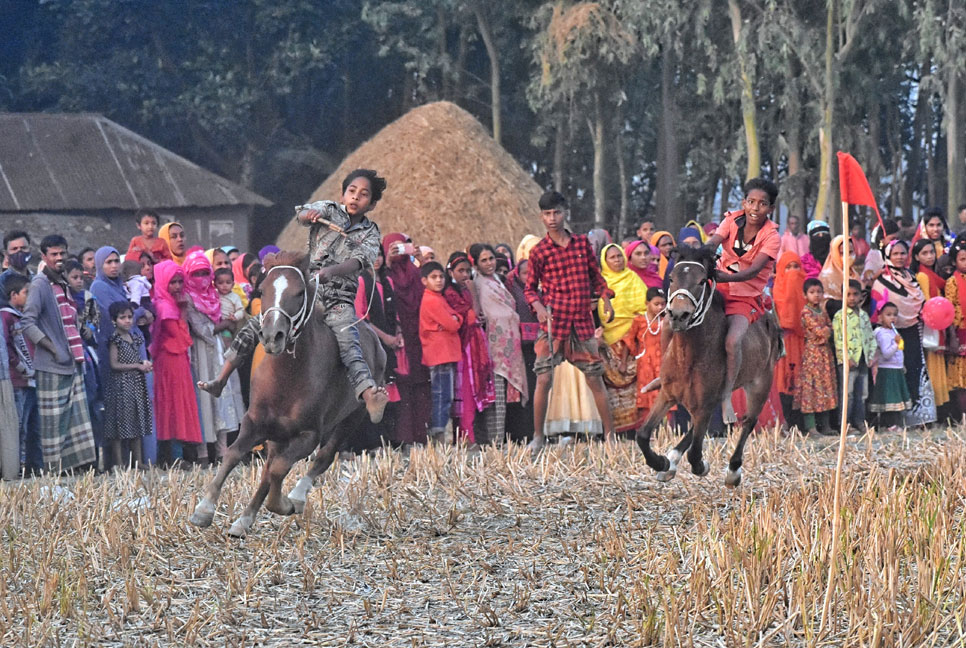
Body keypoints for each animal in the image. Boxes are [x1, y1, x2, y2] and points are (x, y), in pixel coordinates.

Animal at [189, 251, 386, 536]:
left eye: (300, 292)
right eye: (262, 290)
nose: (273, 336)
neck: (286, 378)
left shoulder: (308, 434)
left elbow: (281, 468)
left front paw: (284, 504)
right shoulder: (255, 422)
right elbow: (234, 455)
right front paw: (204, 509)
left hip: (350, 419)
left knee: (321, 458)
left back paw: (296, 496)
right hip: (277, 434)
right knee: (269, 468)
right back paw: (243, 520)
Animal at [636, 247, 788, 486]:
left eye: (700, 281)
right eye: (672, 278)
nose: (678, 315)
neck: (688, 356)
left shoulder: (704, 403)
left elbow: (695, 454)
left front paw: (700, 466)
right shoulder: (668, 395)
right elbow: (642, 435)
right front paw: (662, 463)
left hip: (761, 381)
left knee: (749, 421)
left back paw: (733, 471)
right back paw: (672, 459)